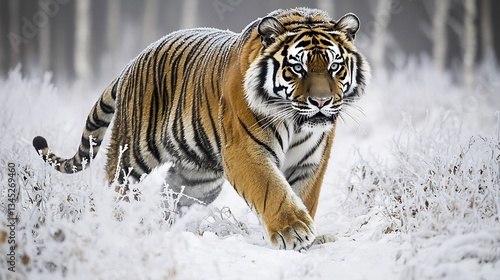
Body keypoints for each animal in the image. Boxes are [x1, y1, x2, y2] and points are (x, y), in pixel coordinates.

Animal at [32, 7, 368, 252]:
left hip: (197, 180)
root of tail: (130, 63)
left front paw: (309, 234)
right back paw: (117, 223)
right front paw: (293, 231)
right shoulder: (245, 151)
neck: (296, 121)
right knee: (115, 186)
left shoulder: (312, 160)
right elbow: (272, 189)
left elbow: (303, 195)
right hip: (132, 153)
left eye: (335, 66)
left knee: (171, 201)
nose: (322, 102)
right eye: (297, 67)